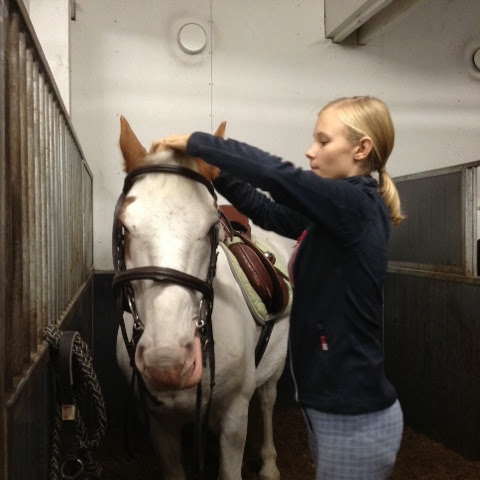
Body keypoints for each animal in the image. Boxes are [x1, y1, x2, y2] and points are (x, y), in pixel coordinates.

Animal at [113, 116, 293, 480]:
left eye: (212, 226)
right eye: (124, 225)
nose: (167, 363)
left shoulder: (235, 417)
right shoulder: (160, 424)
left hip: (275, 366)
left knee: (267, 401)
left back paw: (269, 464)